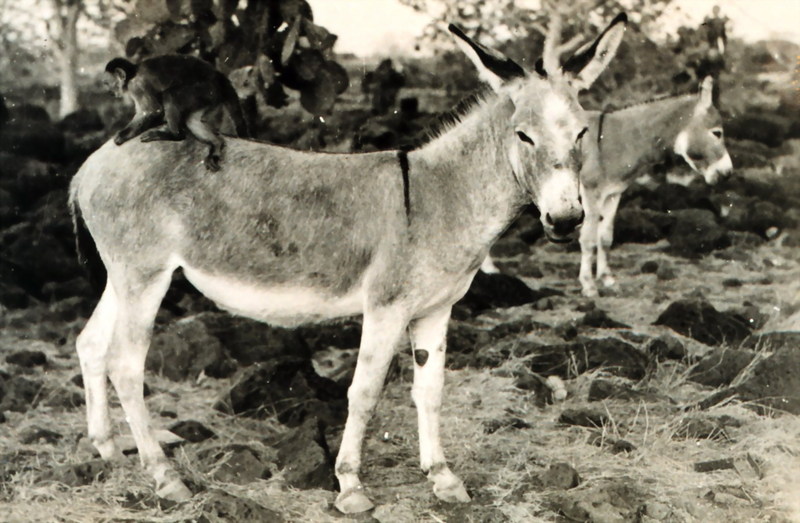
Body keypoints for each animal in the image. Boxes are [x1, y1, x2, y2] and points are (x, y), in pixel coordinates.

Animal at [104, 54, 247, 172]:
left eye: (107, 83)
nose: (109, 92)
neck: (133, 73)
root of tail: (217, 75)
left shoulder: (137, 85)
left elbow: (153, 111)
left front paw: (122, 135)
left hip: (204, 88)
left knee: (170, 95)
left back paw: (175, 135)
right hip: (207, 96)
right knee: (191, 120)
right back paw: (216, 144)